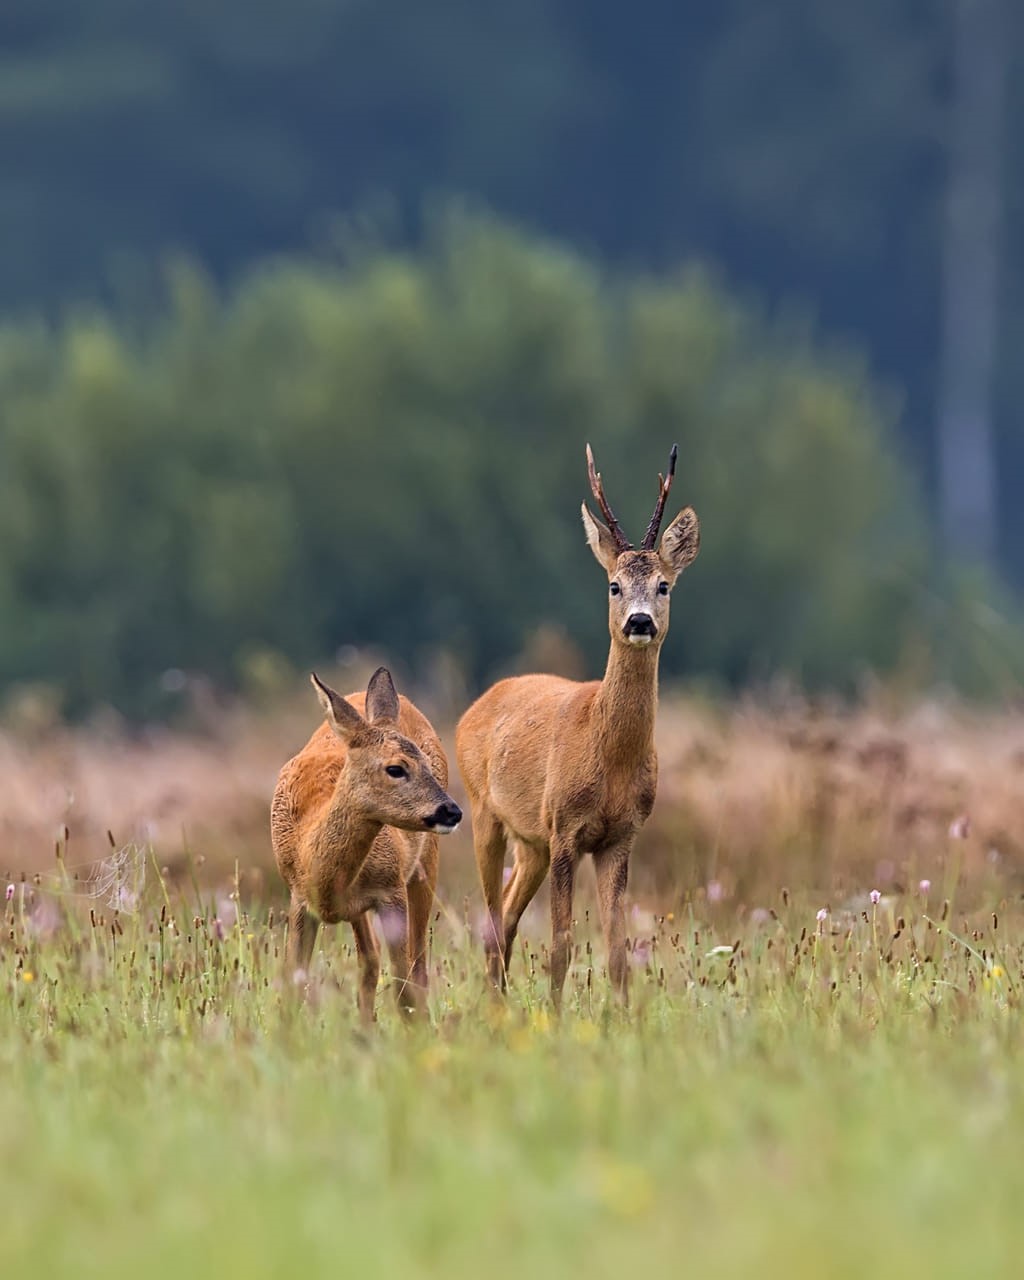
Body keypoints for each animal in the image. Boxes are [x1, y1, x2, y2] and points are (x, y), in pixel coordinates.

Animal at [273, 670, 460, 1018]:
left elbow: (403, 986)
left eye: (427, 766)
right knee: (370, 960)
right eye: (396, 768)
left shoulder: (392, 889)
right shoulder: (299, 897)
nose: (452, 811)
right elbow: (293, 980)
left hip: (425, 865)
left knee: (416, 966)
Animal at [458, 445, 706, 1003]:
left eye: (663, 585)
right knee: (490, 919)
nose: (640, 621)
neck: (606, 756)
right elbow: (562, 944)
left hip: (531, 843)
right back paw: (496, 1006)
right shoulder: (565, 828)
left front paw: (621, 1015)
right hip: (485, 813)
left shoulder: (621, 836)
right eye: (614, 585)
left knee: (505, 919)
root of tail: (478, 704)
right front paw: (555, 1014)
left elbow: (616, 951)